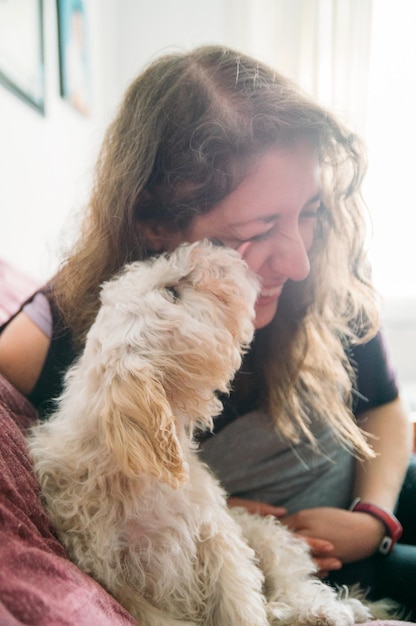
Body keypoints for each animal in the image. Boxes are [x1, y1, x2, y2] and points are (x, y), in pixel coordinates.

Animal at [29, 240, 396, 624]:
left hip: (266, 538)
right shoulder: (123, 586)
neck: (133, 475)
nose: (211, 245)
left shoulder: (217, 542)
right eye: (172, 293)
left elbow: (240, 608)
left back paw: (321, 610)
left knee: (295, 585)